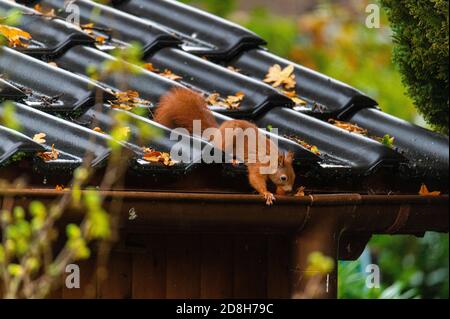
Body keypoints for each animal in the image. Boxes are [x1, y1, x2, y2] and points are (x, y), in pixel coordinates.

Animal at [155, 89, 296, 206]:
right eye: (283, 178)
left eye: (294, 176)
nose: (289, 191)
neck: (271, 159)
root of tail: (219, 132)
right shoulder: (258, 166)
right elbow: (255, 179)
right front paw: (266, 193)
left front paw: (280, 192)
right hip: (228, 139)